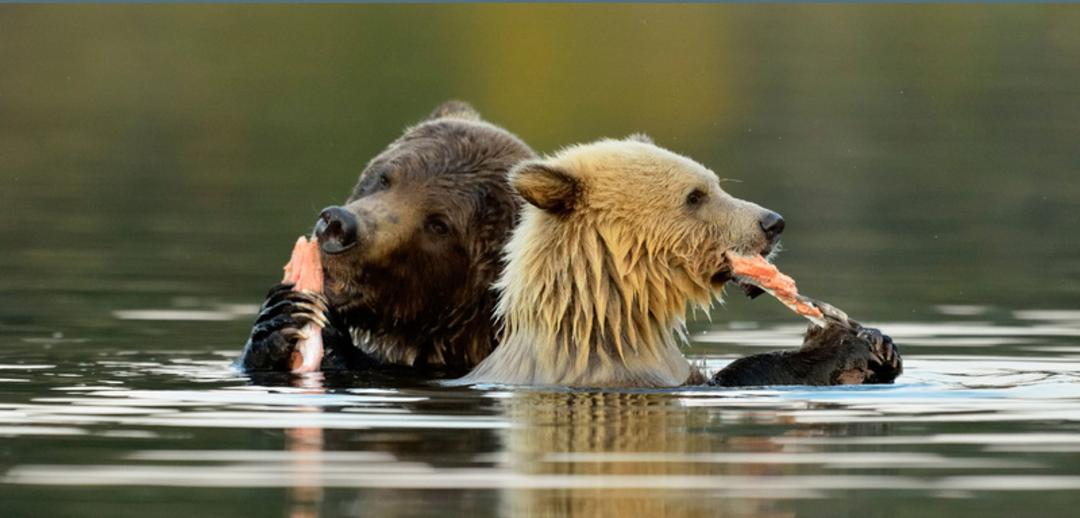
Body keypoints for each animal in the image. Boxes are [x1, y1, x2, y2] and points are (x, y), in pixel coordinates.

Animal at [455, 136, 902, 388]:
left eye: (717, 183)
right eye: (695, 195)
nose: (772, 223)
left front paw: (882, 346)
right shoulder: (622, 376)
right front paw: (842, 343)